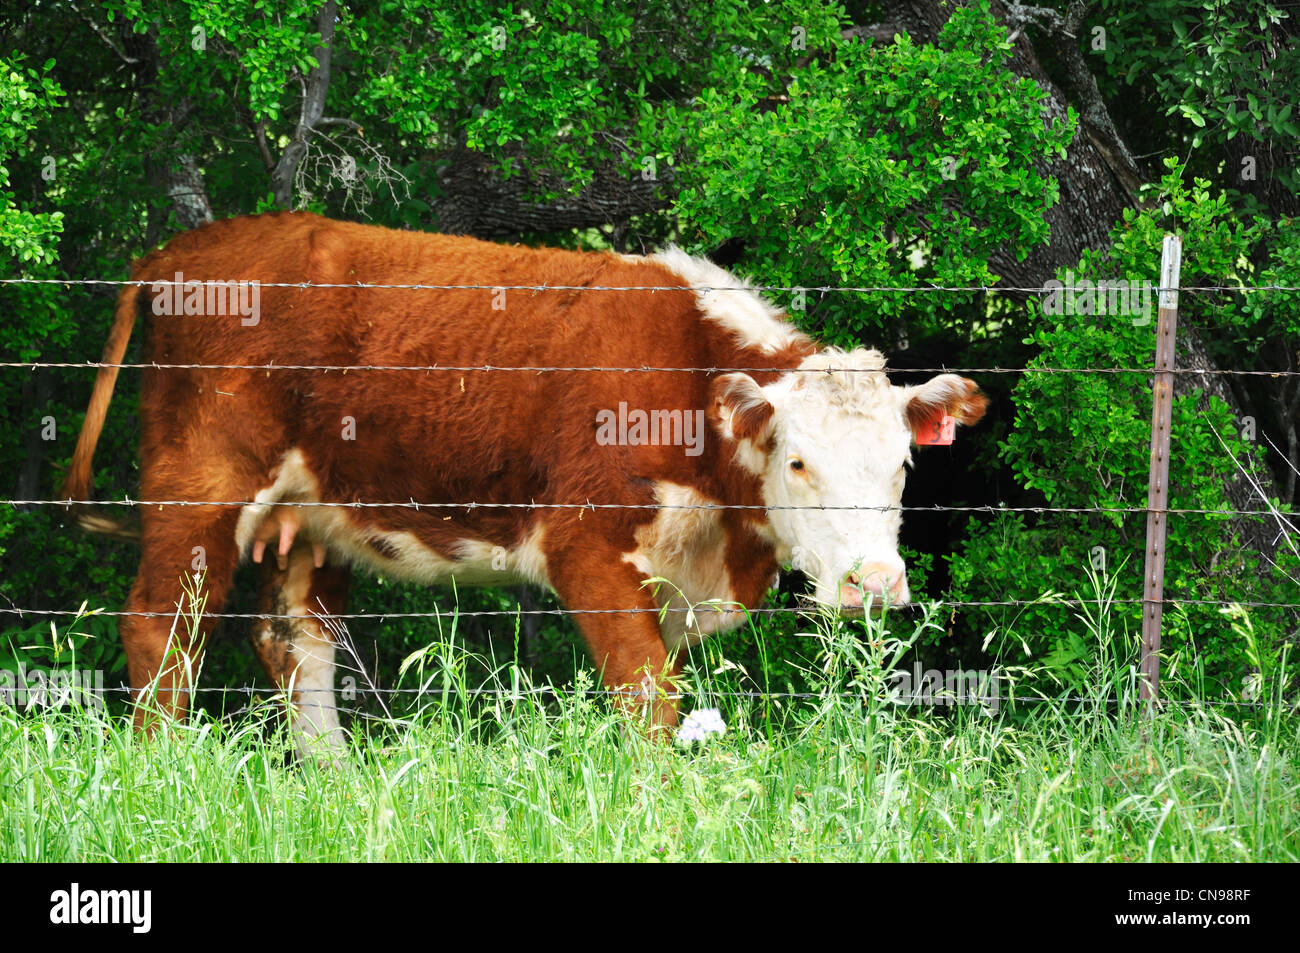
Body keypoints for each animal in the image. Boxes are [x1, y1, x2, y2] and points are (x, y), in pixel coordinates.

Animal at [63, 212, 987, 756]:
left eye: (902, 465)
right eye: (799, 461)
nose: (874, 583)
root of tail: (178, 251)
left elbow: (670, 692)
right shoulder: (586, 542)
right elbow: (644, 694)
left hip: (311, 513)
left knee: (297, 643)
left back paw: (332, 780)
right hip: (200, 486)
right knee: (160, 629)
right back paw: (164, 770)